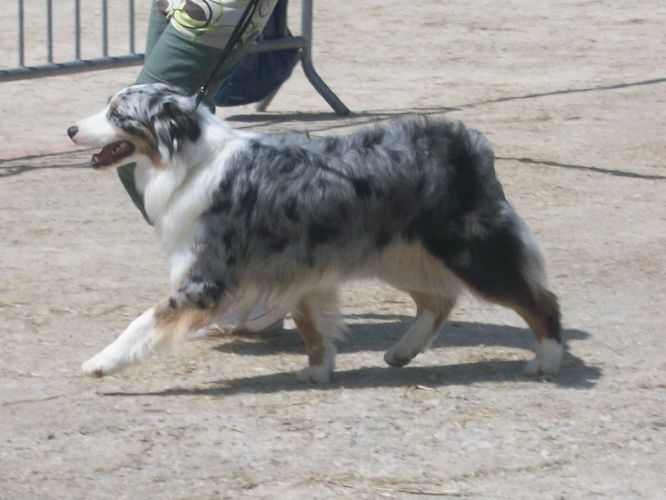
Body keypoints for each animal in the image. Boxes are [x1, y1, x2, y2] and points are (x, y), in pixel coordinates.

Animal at [68, 83, 562, 383]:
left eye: (118, 115)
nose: (71, 128)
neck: (187, 160)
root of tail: (468, 142)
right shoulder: (298, 268)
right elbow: (311, 326)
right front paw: (319, 371)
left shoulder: (207, 279)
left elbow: (143, 322)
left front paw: (99, 362)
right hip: (400, 253)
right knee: (438, 301)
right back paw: (403, 352)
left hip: (471, 252)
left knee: (540, 301)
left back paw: (548, 358)